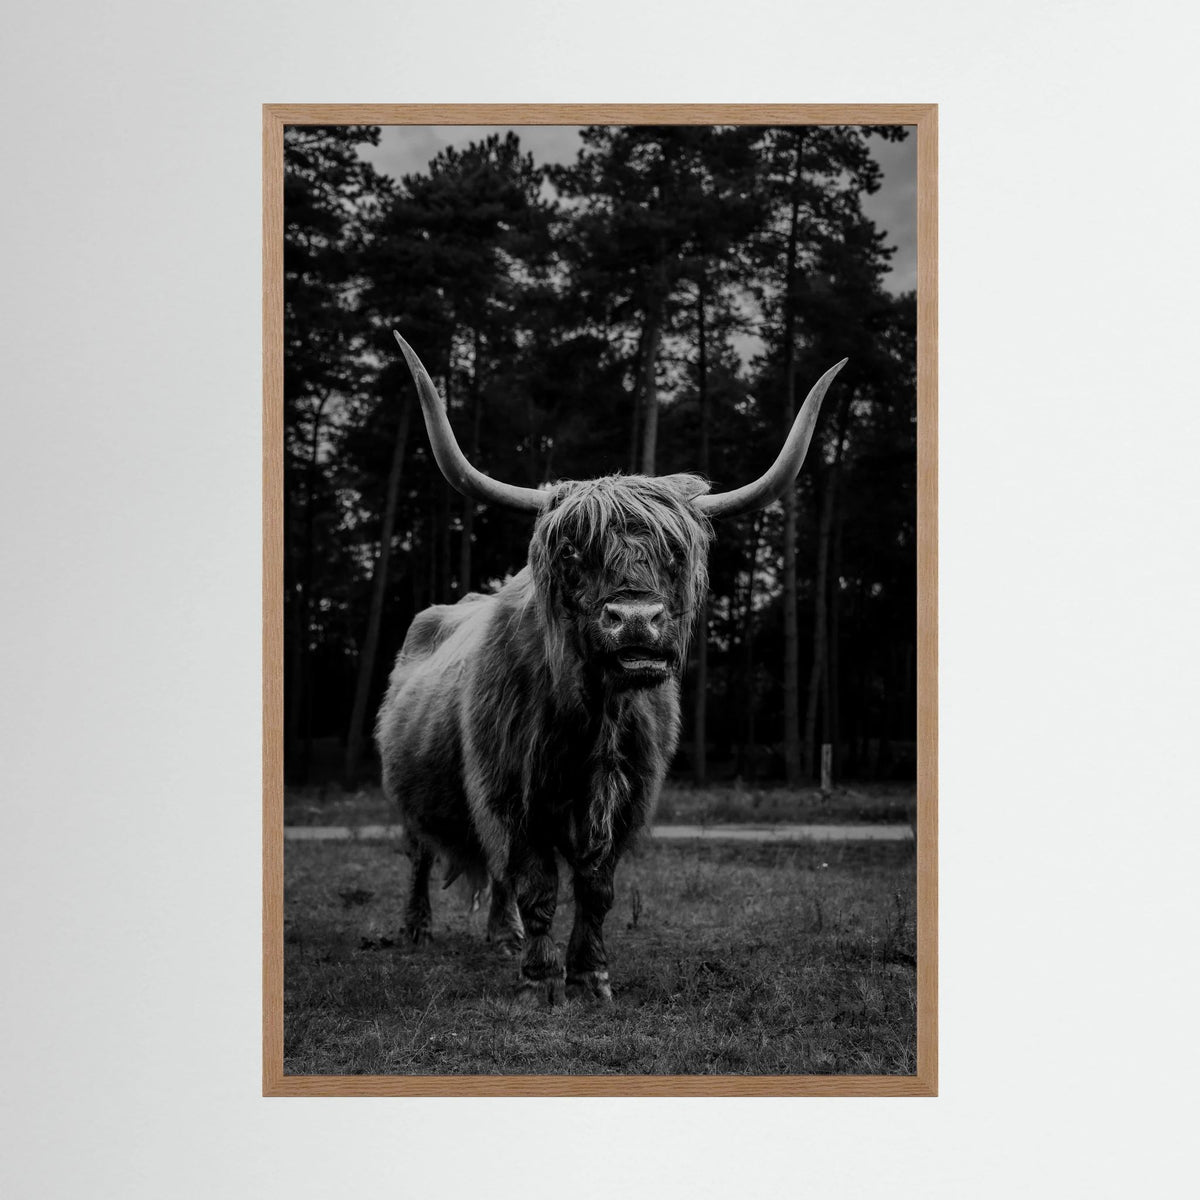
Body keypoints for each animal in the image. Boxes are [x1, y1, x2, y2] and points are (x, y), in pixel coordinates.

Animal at [375, 331, 845, 1005]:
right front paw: (541, 982)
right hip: (406, 790)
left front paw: (590, 976)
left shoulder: (627, 800)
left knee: (492, 874)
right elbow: (539, 885)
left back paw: (503, 937)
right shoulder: (511, 793)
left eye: (675, 553)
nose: (636, 620)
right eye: (574, 552)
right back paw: (417, 931)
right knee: (420, 856)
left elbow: (596, 890)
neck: (592, 719)